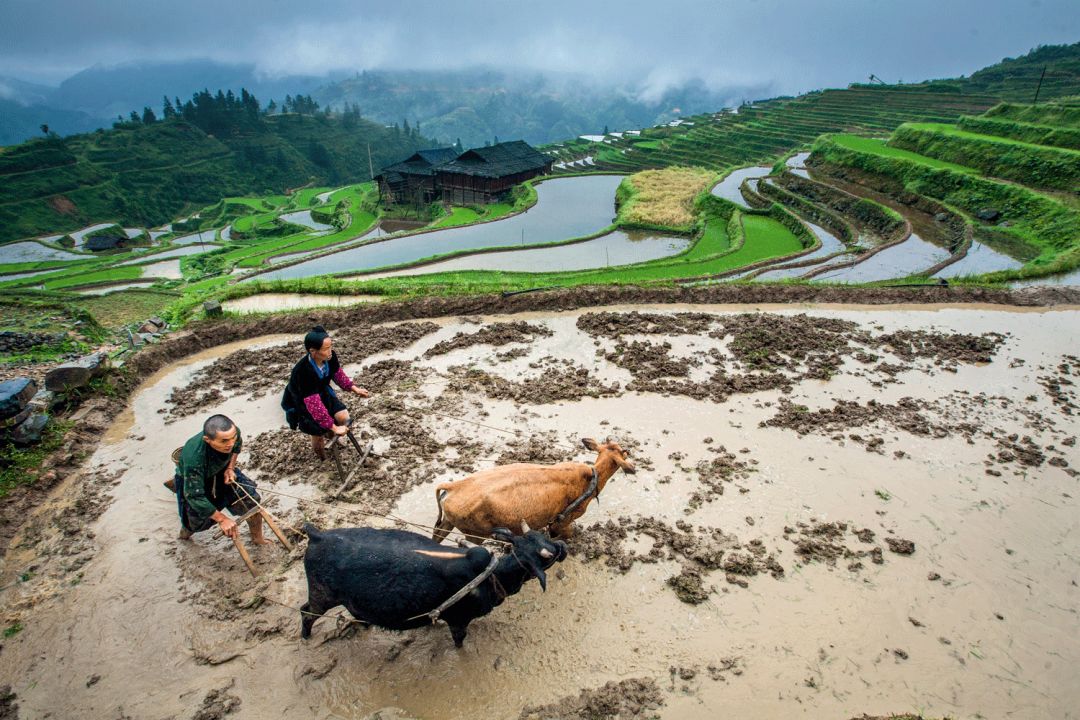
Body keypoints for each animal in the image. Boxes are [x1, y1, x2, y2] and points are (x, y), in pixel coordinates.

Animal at [300, 520, 570, 643]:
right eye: (547, 556)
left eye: (541, 538)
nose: (563, 546)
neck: (493, 575)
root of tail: (317, 535)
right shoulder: (459, 621)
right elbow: (459, 641)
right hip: (321, 596)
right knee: (306, 613)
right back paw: (305, 637)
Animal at [429, 436, 630, 544]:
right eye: (624, 453)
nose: (628, 450)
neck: (592, 476)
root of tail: (454, 485)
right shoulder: (564, 520)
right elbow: (565, 536)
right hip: (475, 534)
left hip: (448, 522)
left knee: (437, 536)